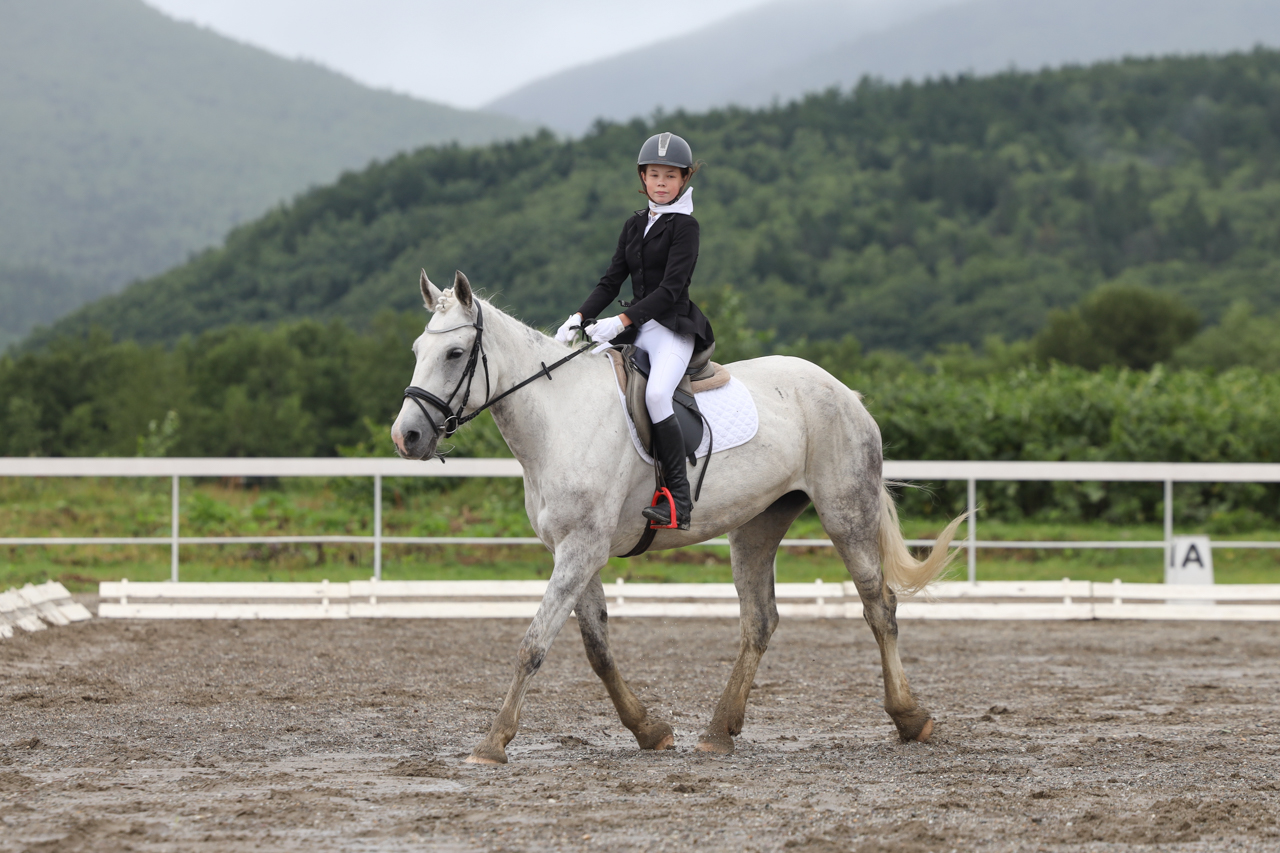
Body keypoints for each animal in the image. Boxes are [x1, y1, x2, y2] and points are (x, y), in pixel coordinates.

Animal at [389, 268, 962, 758]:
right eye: (415, 349)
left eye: (455, 352)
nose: (406, 437)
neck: (558, 419)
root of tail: (844, 391)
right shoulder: (574, 549)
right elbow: (597, 648)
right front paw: (649, 730)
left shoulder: (581, 549)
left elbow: (533, 643)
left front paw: (492, 743)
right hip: (756, 526)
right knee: (760, 620)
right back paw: (718, 732)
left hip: (846, 511)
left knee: (878, 606)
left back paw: (910, 718)